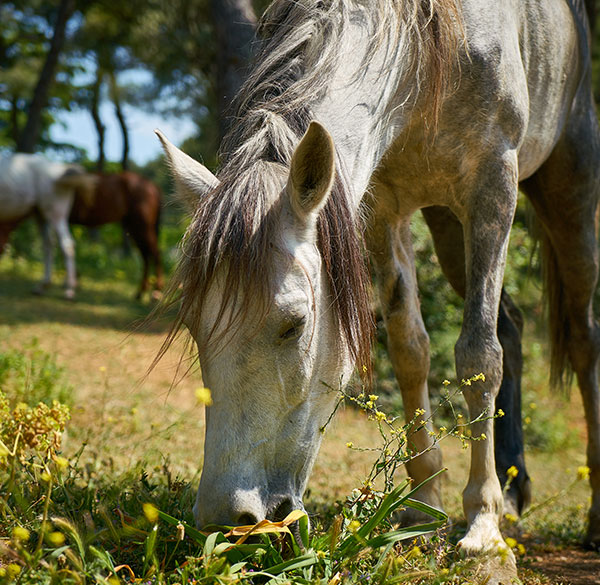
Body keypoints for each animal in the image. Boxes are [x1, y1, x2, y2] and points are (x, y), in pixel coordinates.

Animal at [0, 153, 95, 298]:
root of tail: (59, 171)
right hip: (40, 214)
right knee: (49, 244)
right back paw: (43, 286)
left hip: (55, 212)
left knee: (66, 244)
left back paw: (69, 289)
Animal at [69, 170, 164, 298]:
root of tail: (153, 186)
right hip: (134, 228)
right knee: (146, 256)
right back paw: (140, 292)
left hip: (143, 227)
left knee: (155, 254)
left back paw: (157, 290)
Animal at [158, 0, 600, 576]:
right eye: (193, 325)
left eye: (294, 325)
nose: (225, 517)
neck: (425, 48)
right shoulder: (383, 207)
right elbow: (410, 349)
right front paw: (423, 508)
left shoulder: (492, 186)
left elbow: (479, 356)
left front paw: (483, 531)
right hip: (448, 225)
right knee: (512, 325)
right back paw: (513, 489)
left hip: (570, 189)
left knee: (584, 339)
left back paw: (588, 515)